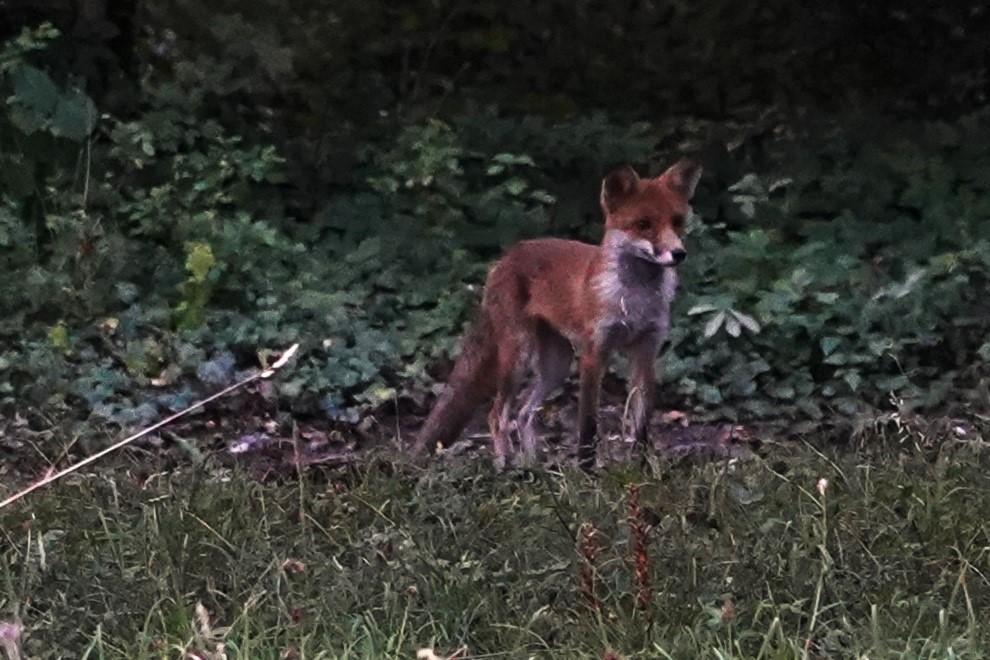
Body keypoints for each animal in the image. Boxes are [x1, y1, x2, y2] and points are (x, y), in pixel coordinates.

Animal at [412, 159, 704, 470]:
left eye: (677, 221)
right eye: (644, 225)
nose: (679, 253)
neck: (634, 300)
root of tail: (508, 255)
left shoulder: (646, 354)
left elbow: (642, 424)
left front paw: (643, 466)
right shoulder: (594, 354)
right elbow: (588, 424)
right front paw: (587, 471)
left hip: (557, 366)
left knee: (524, 412)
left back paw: (532, 466)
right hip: (519, 356)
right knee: (497, 414)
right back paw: (506, 464)